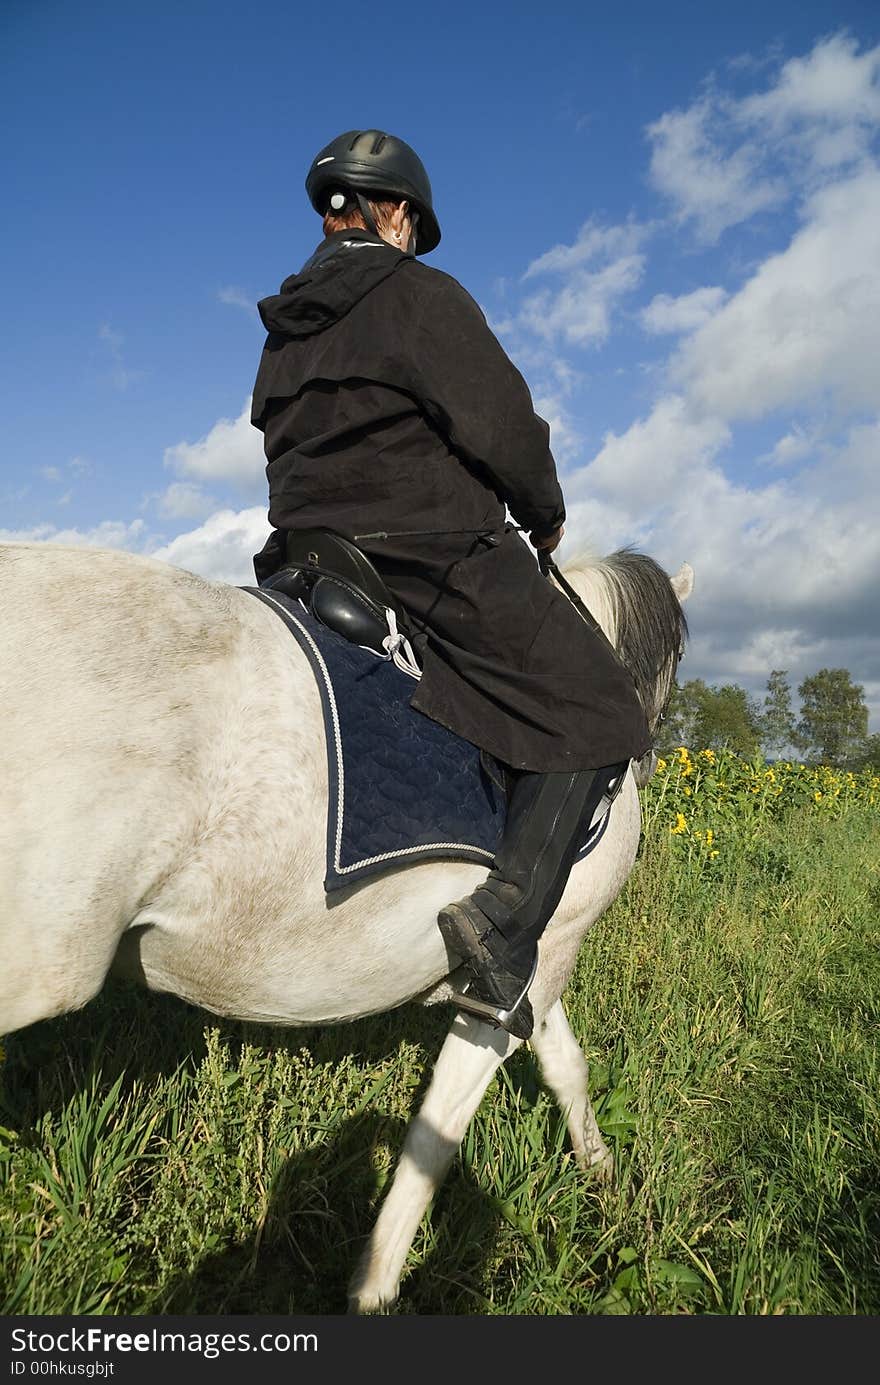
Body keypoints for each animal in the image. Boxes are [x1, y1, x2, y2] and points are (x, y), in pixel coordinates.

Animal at [0, 537, 687, 1307]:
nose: (646, 763)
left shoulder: (527, 965)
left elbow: (566, 1067)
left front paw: (602, 1172)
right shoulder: (534, 962)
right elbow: (435, 1137)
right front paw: (376, 1287)